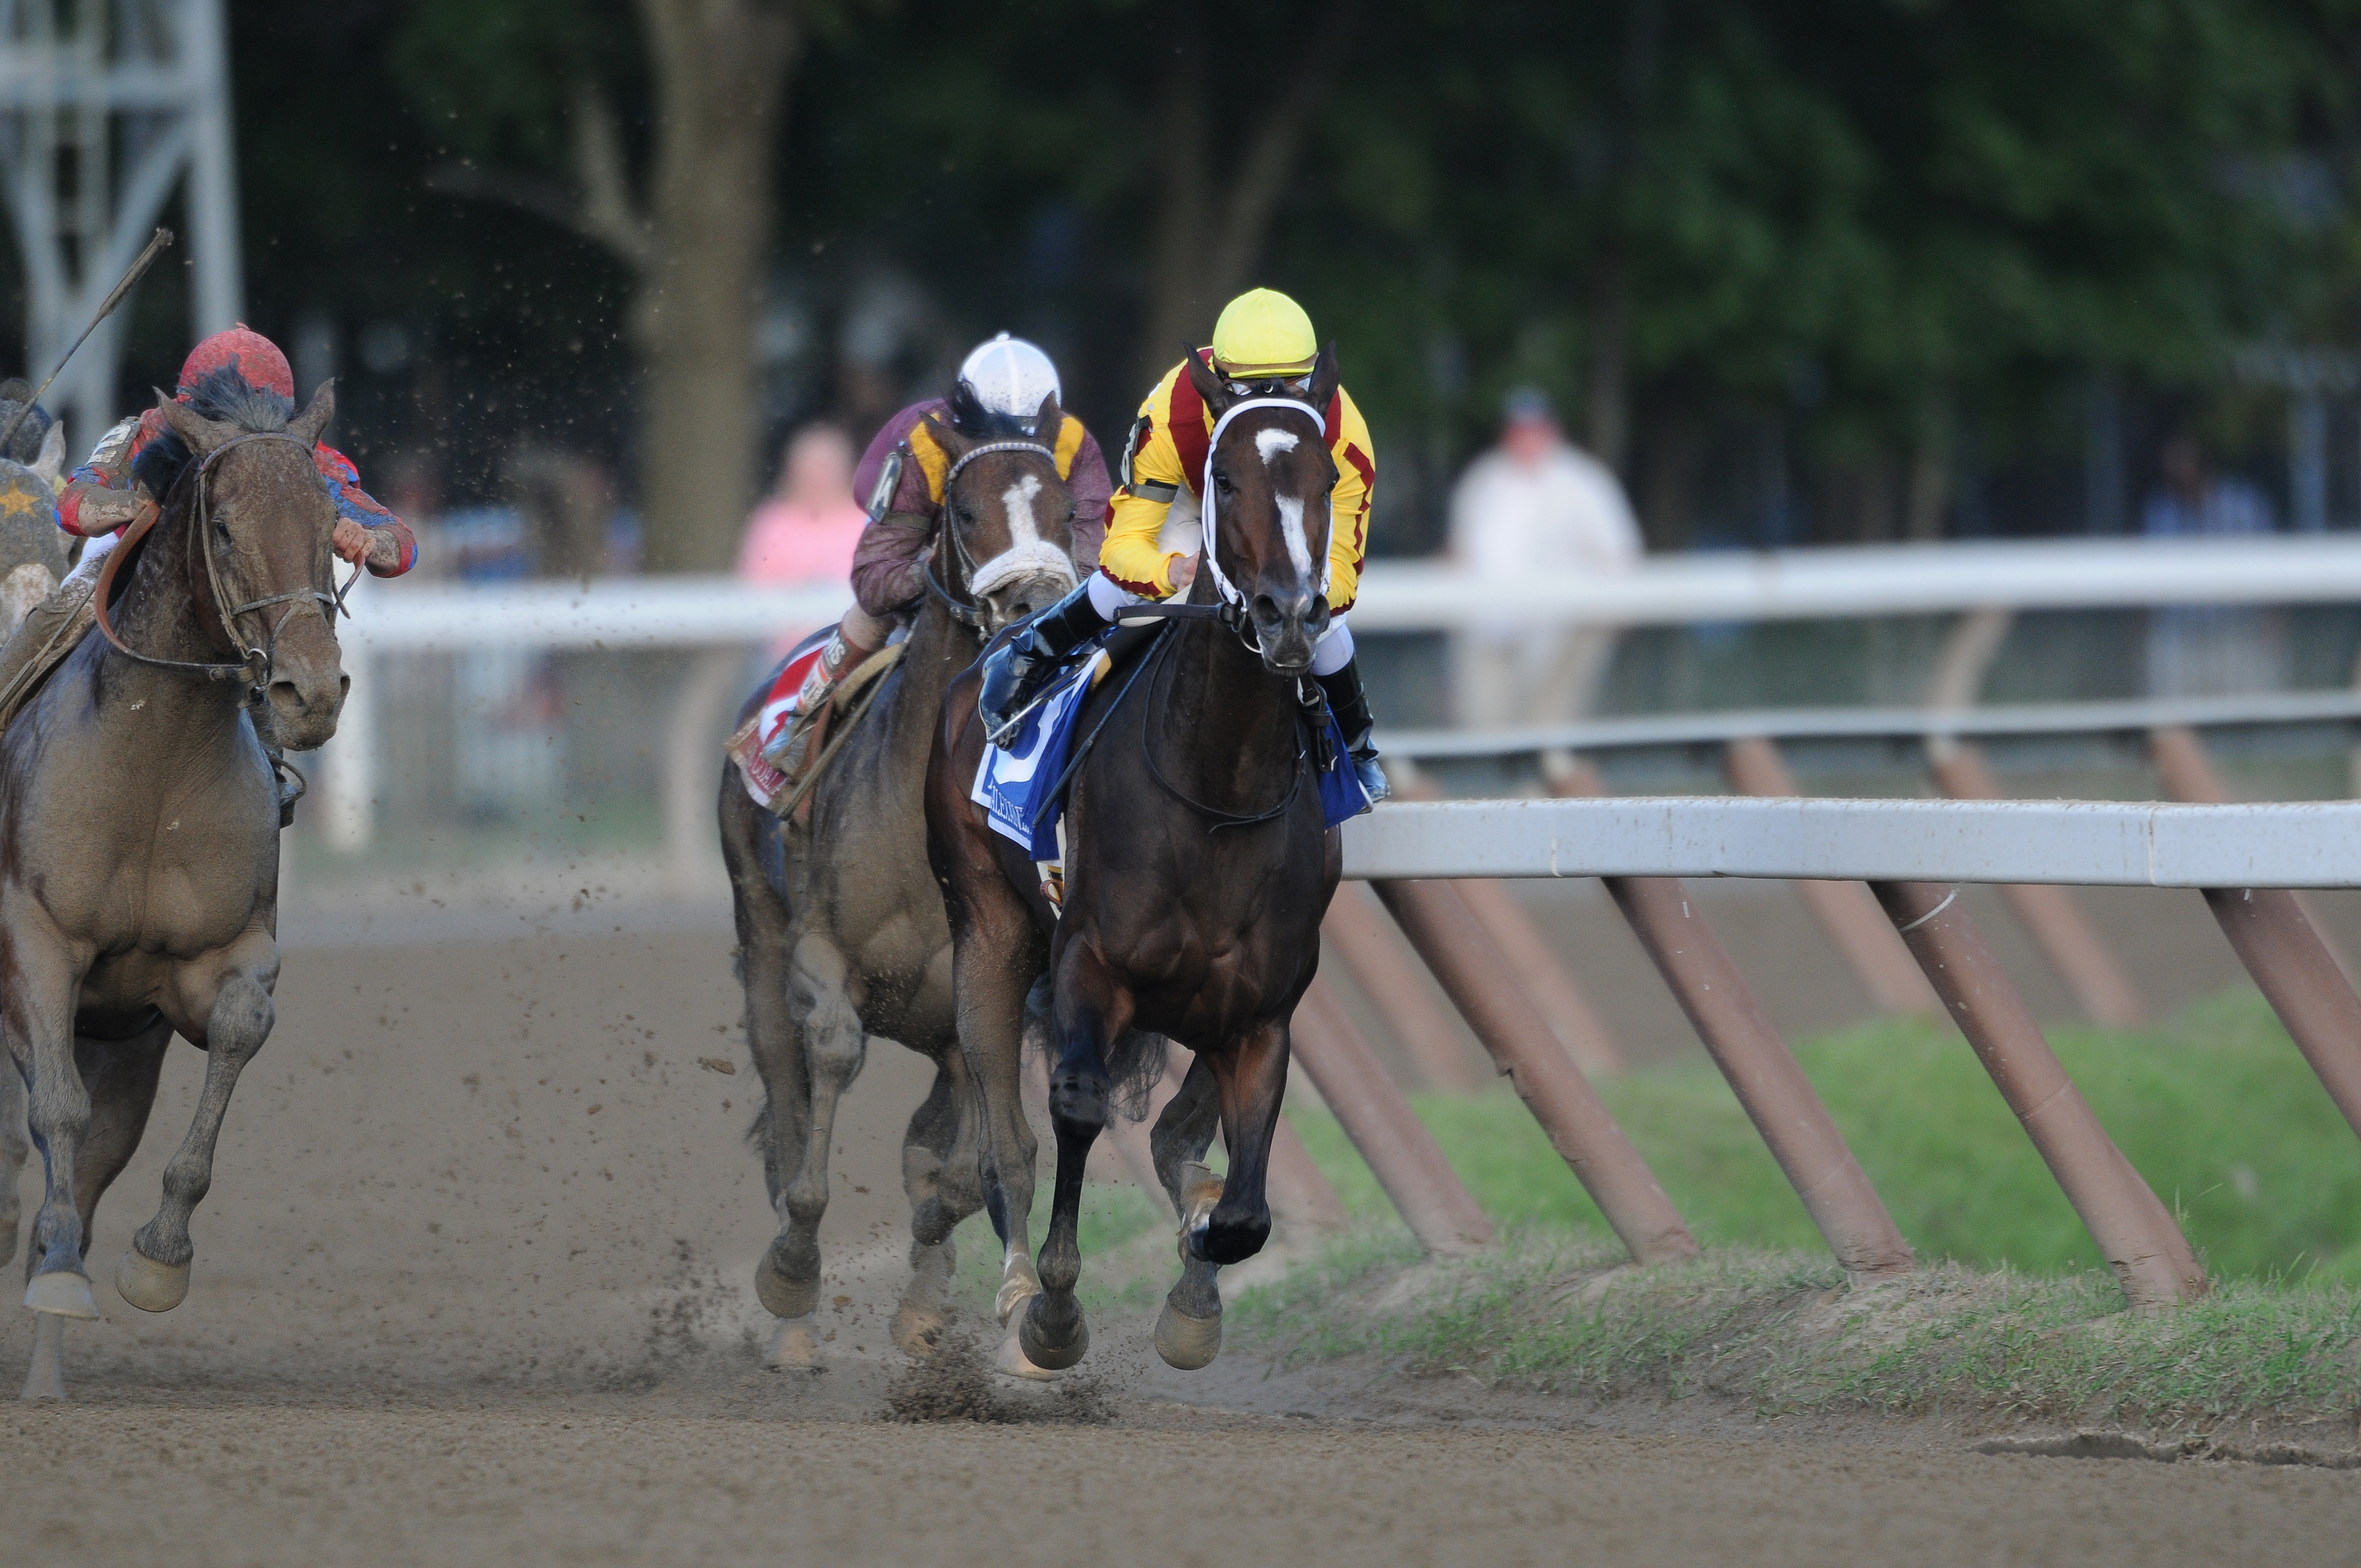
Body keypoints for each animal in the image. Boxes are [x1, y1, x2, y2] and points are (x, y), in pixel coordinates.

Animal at [0, 380, 347, 1398]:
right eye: (224, 528)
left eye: (331, 525)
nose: (311, 692)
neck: (153, 766)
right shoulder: (33, 941)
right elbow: (54, 1107)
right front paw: (62, 1266)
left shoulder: (211, 962)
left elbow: (235, 1027)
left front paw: (156, 1259)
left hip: (127, 1048)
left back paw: (45, 1365)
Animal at [717, 394, 1081, 1369]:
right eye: (965, 510)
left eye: (1069, 511)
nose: (1033, 606)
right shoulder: (818, 954)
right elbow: (835, 1059)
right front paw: (793, 1269)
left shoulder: (979, 996)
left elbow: (954, 1166)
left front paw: (929, 1287)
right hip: (760, 942)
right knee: (787, 1102)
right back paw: (792, 1325)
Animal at [930, 347, 1359, 1369]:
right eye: (1226, 478)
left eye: (1325, 478)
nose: (1290, 615)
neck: (1220, 785)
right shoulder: (1089, 965)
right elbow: (1079, 1108)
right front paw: (1054, 1311)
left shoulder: (1262, 1012)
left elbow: (1239, 1208)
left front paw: (1196, 1285)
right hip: (988, 932)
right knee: (1006, 1137)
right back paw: (1015, 1284)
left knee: (1173, 1137)